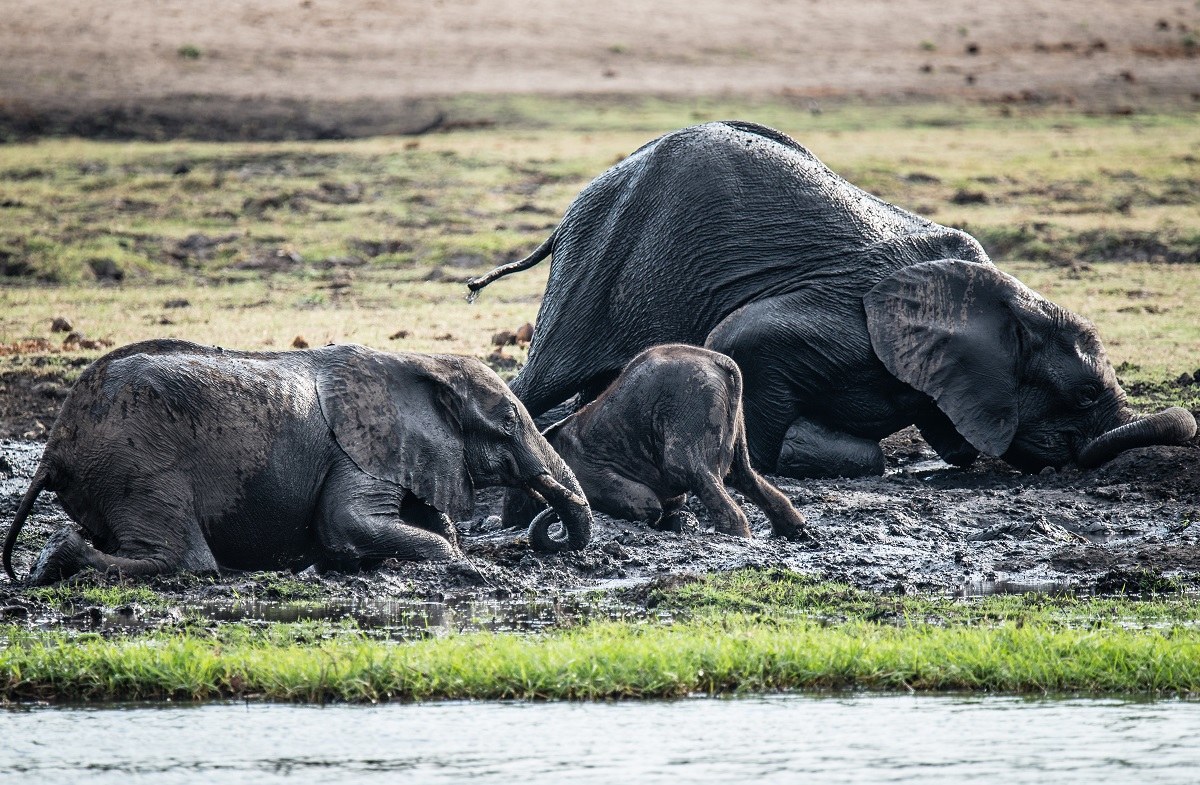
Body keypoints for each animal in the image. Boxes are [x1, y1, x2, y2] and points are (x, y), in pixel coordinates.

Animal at [4, 339, 592, 585]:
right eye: (510, 422)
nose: (550, 528)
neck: (422, 363)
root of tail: (54, 446)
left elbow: (427, 520)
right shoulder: (359, 449)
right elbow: (348, 522)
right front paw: (461, 565)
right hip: (136, 461)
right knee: (186, 559)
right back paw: (60, 559)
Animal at [467, 121, 1196, 478]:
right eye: (1085, 395)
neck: (1001, 296)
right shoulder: (844, 317)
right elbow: (740, 340)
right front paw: (762, 471)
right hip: (598, 265)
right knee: (542, 380)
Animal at [501, 344, 809, 540]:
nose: (508, 524)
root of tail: (722, 363)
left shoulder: (588, 473)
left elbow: (648, 505)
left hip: (689, 404)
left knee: (686, 470)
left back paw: (736, 536)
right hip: (729, 417)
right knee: (741, 472)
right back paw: (795, 531)